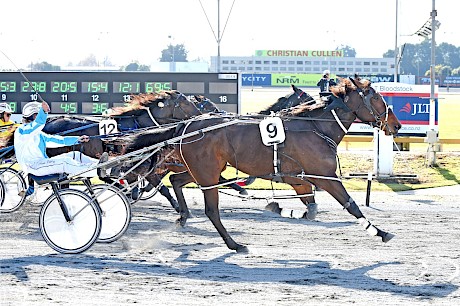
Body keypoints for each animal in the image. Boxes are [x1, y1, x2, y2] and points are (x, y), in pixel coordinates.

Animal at [124, 75, 400, 252]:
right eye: (377, 98)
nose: (396, 125)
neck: (315, 127)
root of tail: (186, 125)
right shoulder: (325, 176)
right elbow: (351, 205)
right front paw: (380, 232)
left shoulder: (302, 180)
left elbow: (311, 209)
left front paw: (281, 208)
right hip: (207, 172)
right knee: (210, 209)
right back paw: (234, 244)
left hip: (203, 170)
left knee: (176, 181)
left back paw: (182, 215)